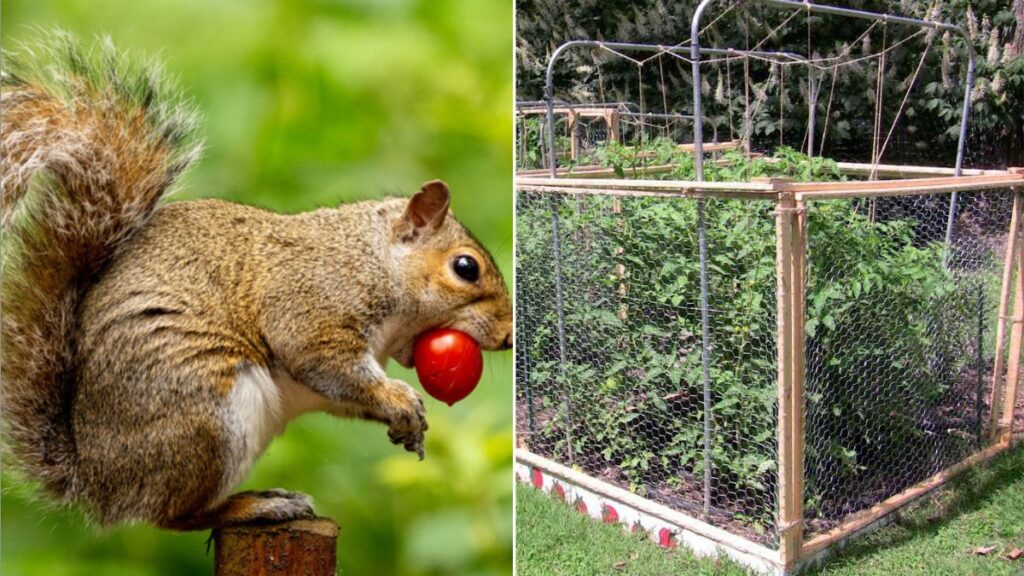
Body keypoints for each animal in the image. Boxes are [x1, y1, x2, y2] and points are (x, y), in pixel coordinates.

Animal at [0, 33, 512, 530]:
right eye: (466, 268)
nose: (508, 337)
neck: (372, 260)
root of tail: (97, 481)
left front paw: (409, 424)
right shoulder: (311, 305)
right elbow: (329, 364)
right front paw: (399, 398)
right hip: (206, 415)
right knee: (174, 517)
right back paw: (256, 505)